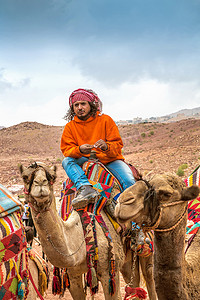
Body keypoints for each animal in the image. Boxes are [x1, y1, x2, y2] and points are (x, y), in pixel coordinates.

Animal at [18, 163, 156, 298]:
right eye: (25, 177)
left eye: (52, 177)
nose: (40, 183)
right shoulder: (72, 276)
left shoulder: (110, 272)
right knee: (133, 280)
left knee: (149, 275)